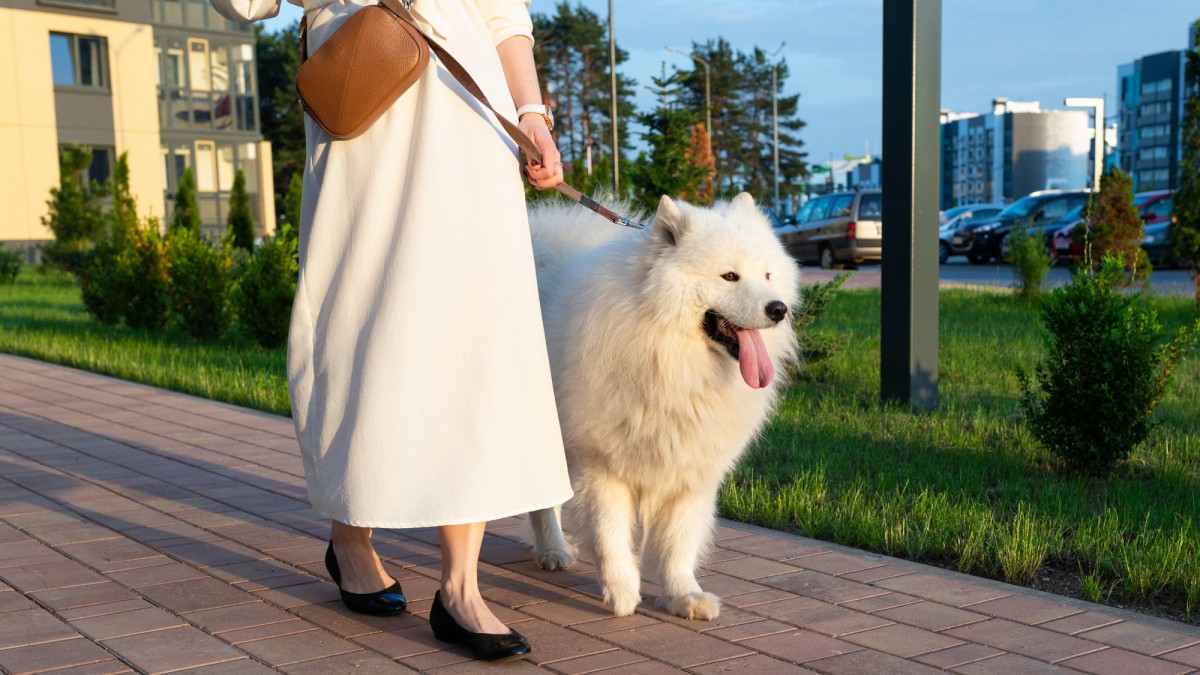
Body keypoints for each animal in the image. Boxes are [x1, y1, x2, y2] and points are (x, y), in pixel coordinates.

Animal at [525, 192, 796, 619]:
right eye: (729, 276)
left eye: (767, 275)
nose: (778, 308)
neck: (668, 355)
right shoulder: (601, 463)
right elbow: (608, 532)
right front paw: (621, 592)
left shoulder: (690, 466)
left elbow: (677, 542)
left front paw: (684, 596)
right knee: (543, 504)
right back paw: (553, 550)